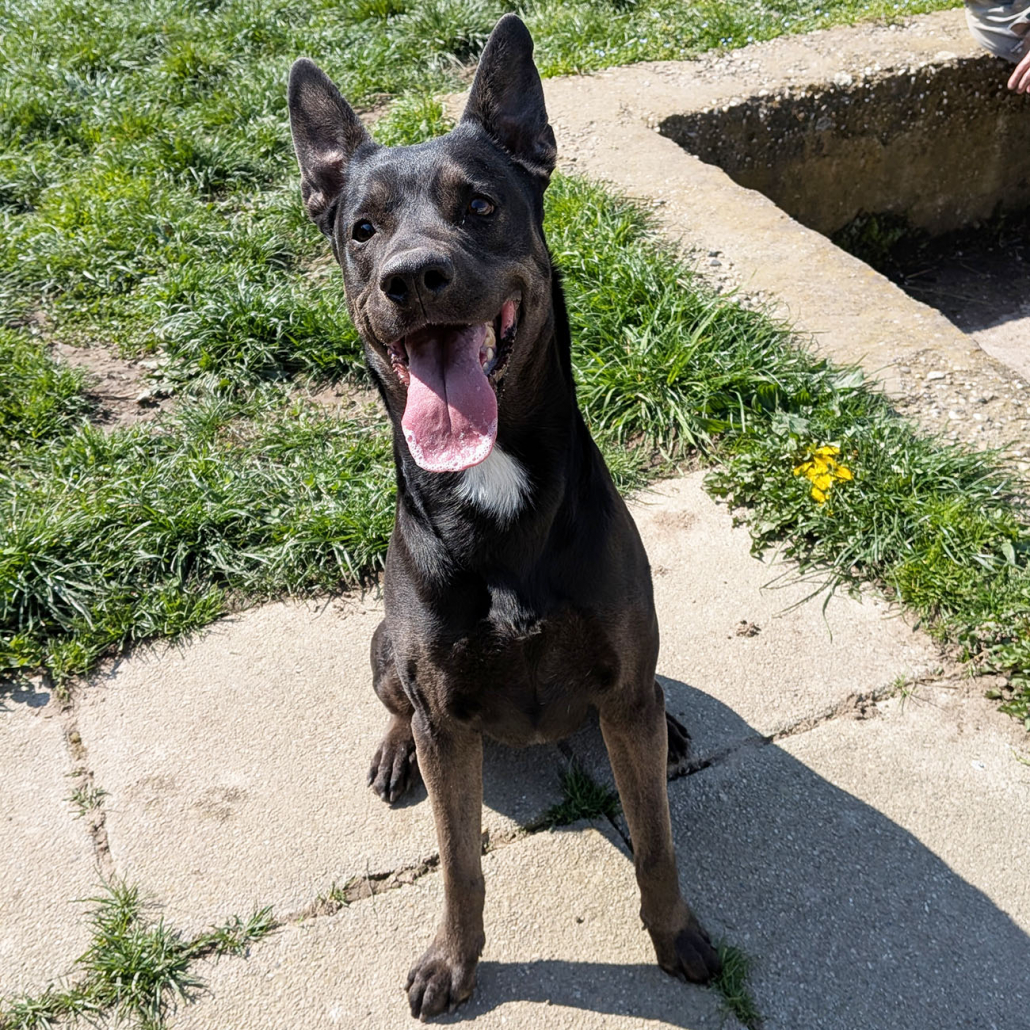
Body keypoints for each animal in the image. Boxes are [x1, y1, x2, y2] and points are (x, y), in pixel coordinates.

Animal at [288, 14, 721, 1019]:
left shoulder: (622, 688)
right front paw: (454, 961)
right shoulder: (450, 722)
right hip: (383, 651)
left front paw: (675, 934)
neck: (491, 485)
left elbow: (655, 841)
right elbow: (460, 865)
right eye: (362, 229)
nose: (412, 277)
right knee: (397, 702)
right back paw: (393, 752)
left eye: (479, 205)